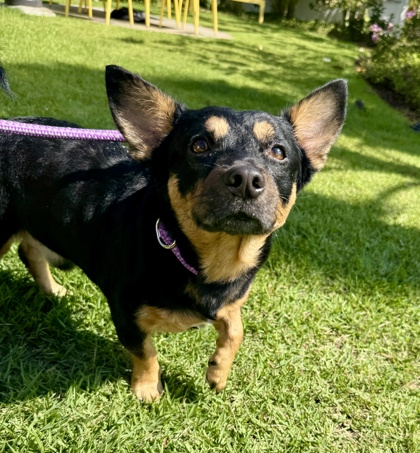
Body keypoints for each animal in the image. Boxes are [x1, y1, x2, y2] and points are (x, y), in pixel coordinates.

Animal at [0, 65, 347, 401]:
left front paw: (218, 372)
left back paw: (52, 289)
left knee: (28, 251)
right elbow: (146, 353)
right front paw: (146, 390)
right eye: (199, 146)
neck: (212, 263)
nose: (246, 179)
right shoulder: (125, 312)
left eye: (278, 152)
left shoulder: (230, 301)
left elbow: (236, 329)